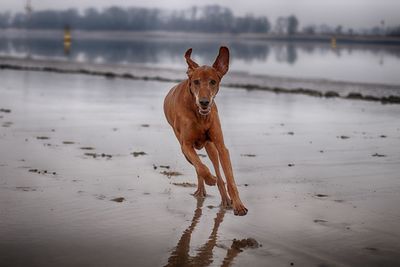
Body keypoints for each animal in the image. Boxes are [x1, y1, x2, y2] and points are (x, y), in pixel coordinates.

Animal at [163, 47, 247, 217]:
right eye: (196, 82)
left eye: (213, 82)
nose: (204, 102)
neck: (199, 115)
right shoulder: (186, 146)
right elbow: (201, 167)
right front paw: (210, 179)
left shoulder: (221, 146)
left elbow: (230, 179)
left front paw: (238, 205)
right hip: (183, 147)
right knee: (198, 166)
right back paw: (202, 190)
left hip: (211, 147)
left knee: (218, 171)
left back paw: (225, 199)